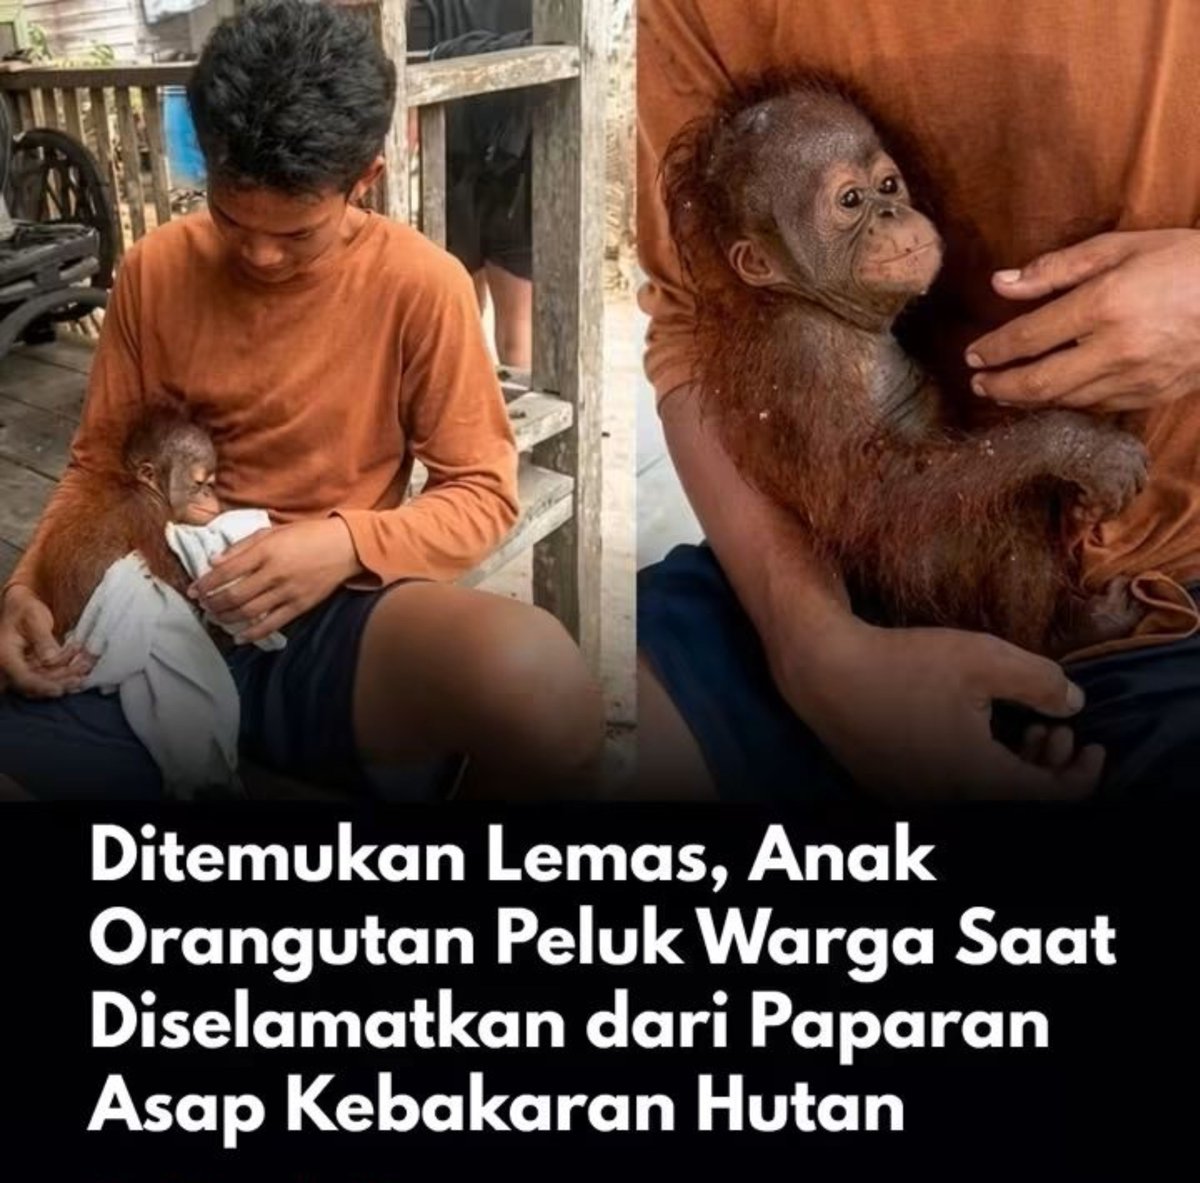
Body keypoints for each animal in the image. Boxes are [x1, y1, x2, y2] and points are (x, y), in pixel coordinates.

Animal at [29, 407, 220, 640]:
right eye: (199, 483)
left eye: (211, 483)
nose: (209, 493)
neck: (144, 488)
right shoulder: (150, 513)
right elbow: (176, 577)